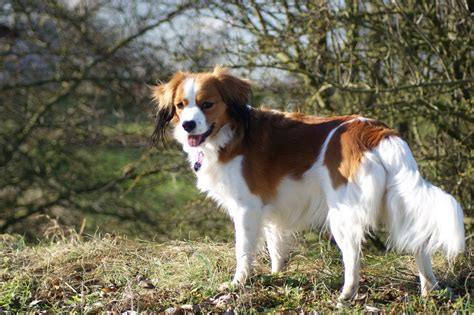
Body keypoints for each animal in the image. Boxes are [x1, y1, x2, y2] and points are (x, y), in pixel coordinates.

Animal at [150, 65, 464, 302]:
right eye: (181, 106)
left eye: (207, 104)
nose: (188, 125)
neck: (232, 132)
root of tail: (376, 132)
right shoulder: (271, 211)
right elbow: (276, 248)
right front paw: (276, 276)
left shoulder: (246, 209)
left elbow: (243, 251)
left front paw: (238, 283)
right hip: (396, 201)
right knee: (420, 242)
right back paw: (429, 289)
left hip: (342, 213)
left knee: (353, 256)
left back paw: (346, 295)